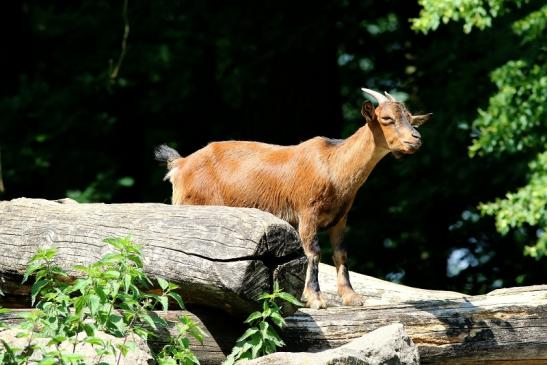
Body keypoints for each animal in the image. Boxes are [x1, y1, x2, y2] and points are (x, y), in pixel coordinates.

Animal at [155, 88, 432, 308]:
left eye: (411, 120)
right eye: (387, 119)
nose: (416, 139)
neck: (334, 165)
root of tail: (180, 164)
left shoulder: (340, 217)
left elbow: (341, 254)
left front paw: (352, 297)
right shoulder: (307, 211)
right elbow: (313, 252)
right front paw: (315, 299)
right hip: (190, 205)